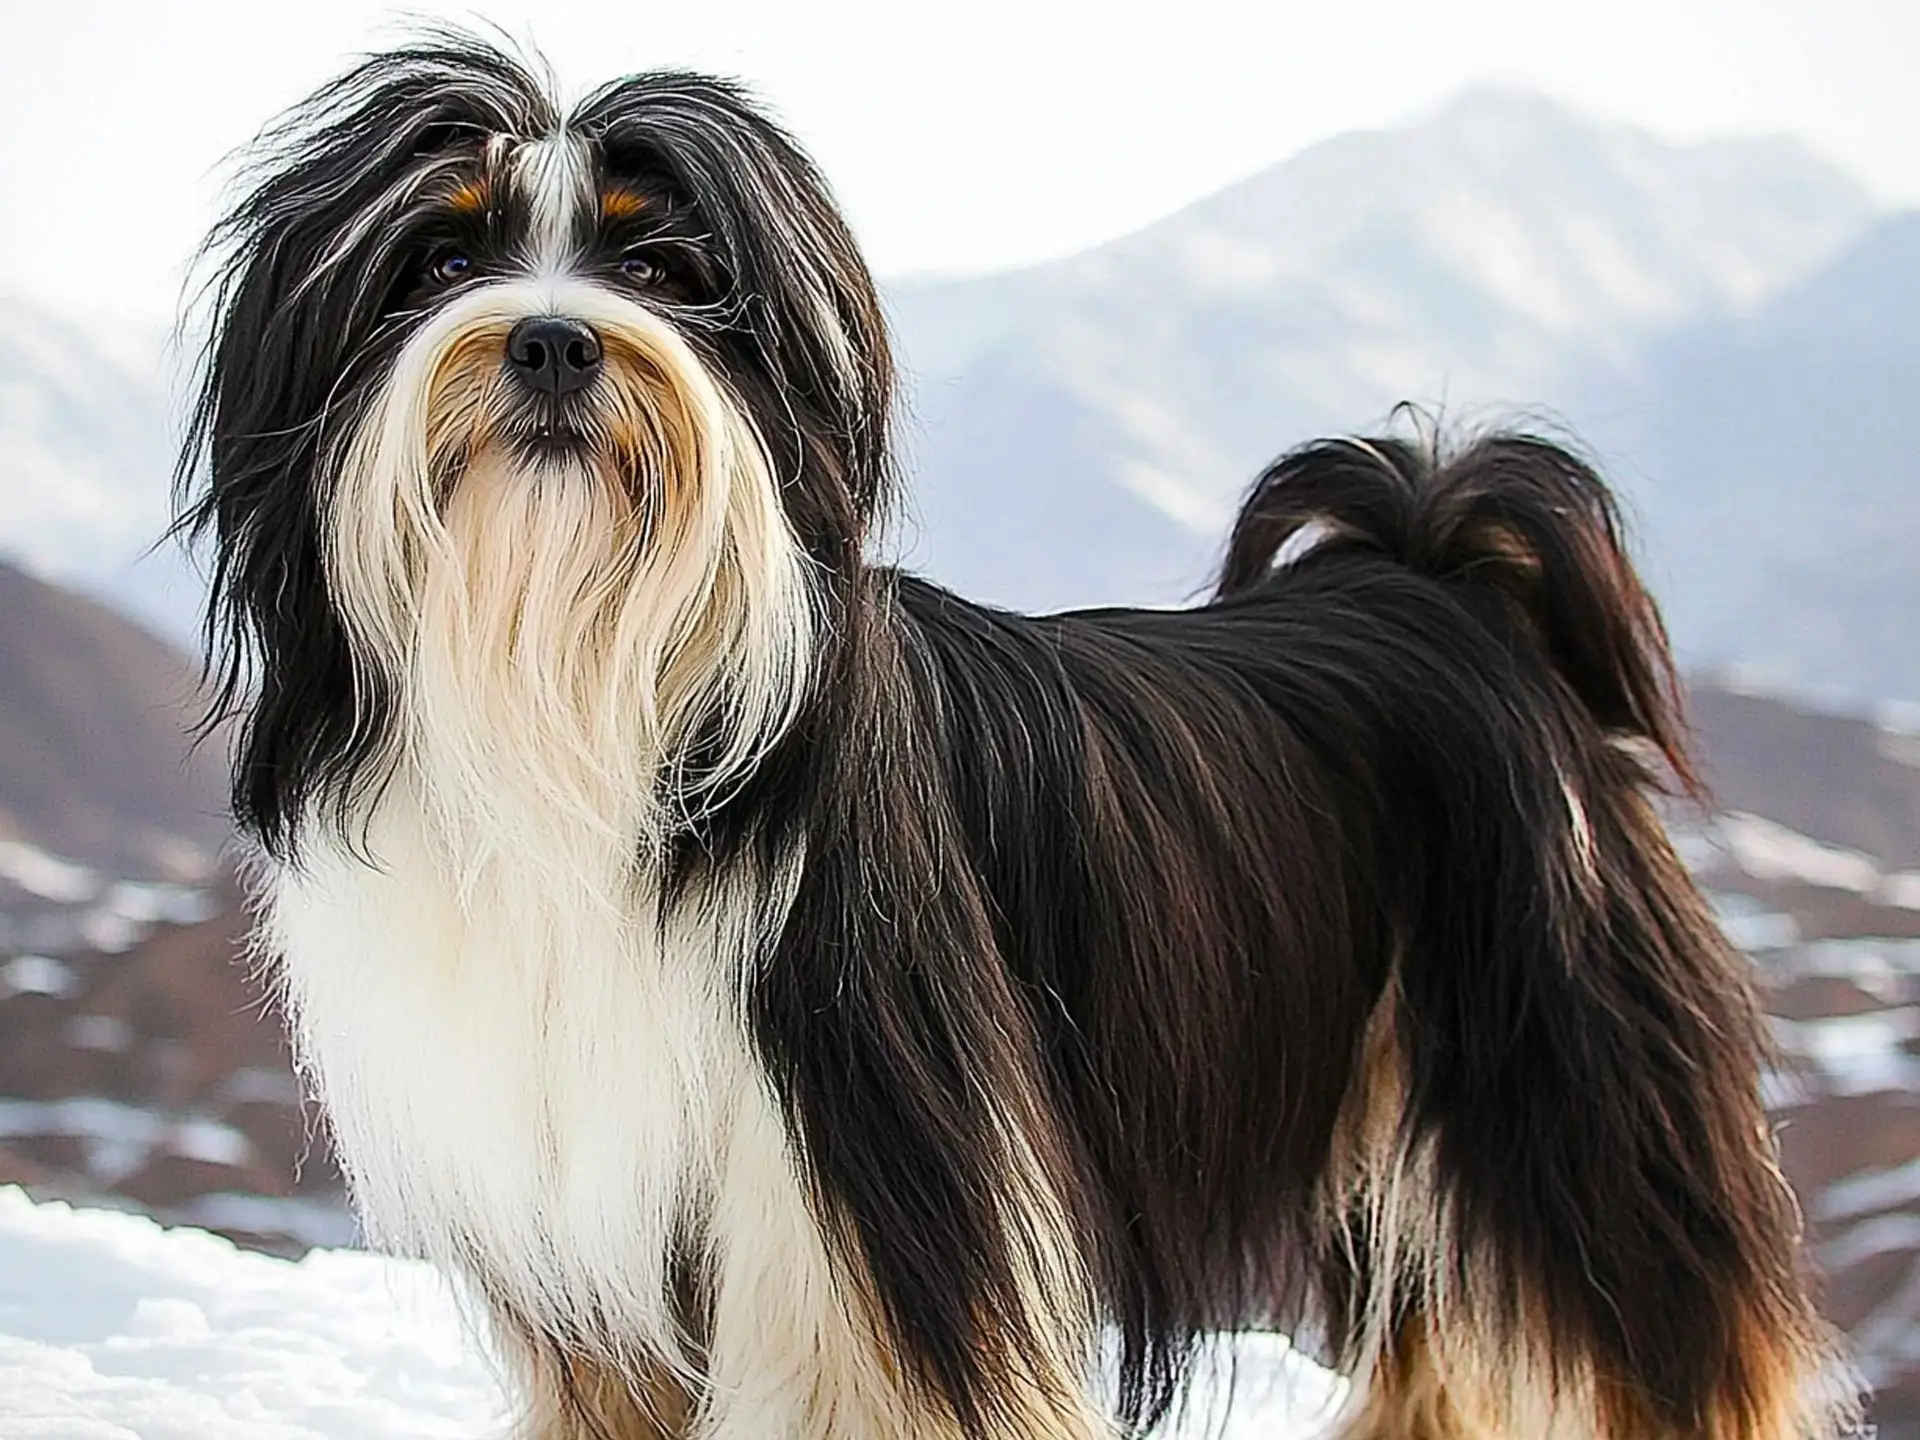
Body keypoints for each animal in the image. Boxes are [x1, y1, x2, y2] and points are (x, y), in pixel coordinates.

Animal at [187, 30, 1850, 1440]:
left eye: (659, 266)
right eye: (440, 258)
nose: (548, 345)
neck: (581, 693)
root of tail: (1437, 578)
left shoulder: (872, 1173)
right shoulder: (586, 1207)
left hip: (1567, 1083)